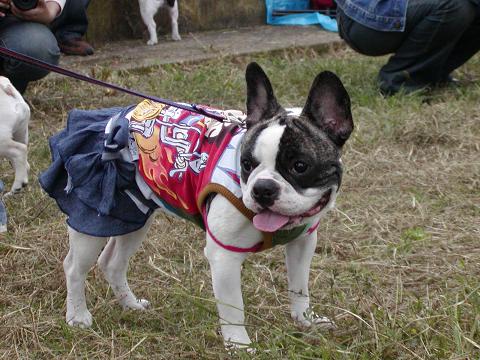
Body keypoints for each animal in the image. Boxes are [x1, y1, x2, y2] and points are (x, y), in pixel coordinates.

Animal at [41, 62, 354, 348]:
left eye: (300, 166)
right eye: (246, 164)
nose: (263, 188)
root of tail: (117, 119)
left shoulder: (302, 243)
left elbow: (299, 287)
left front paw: (305, 319)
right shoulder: (224, 257)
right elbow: (233, 309)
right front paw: (240, 346)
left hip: (132, 216)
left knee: (112, 262)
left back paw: (131, 305)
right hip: (93, 220)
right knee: (75, 267)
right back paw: (78, 316)